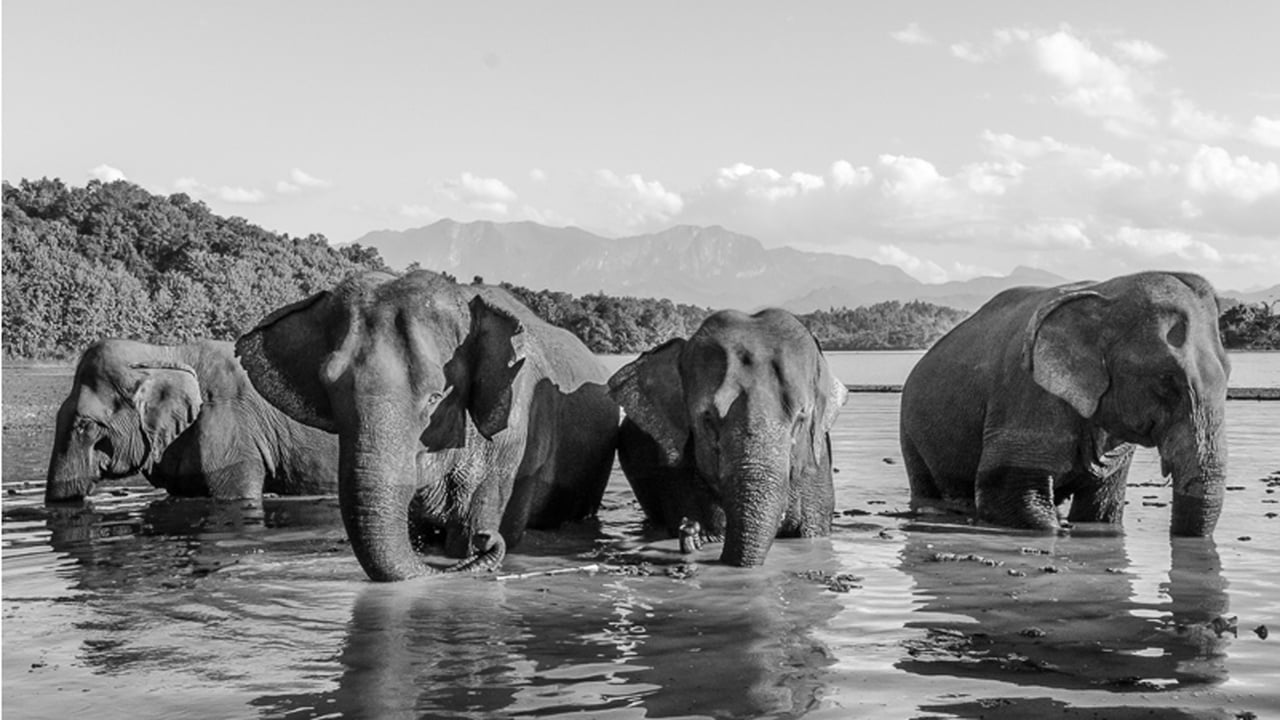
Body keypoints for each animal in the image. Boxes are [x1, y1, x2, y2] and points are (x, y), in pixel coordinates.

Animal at [234, 270, 619, 581]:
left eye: (435, 397)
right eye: (329, 386)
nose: (488, 540)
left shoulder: (513, 438)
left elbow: (465, 537)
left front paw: (472, 540)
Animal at [607, 308, 848, 567]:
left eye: (800, 419)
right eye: (708, 419)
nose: (689, 528)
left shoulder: (817, 466)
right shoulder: (677, 472)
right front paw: (703, 534)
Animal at [899, 271, 1229, 536]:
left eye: (1229, 374)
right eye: (1166, 380)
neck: (1107, 291)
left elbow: (1102, 510)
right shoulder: (1026, 393)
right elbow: (1007, 494)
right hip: (912, 436)